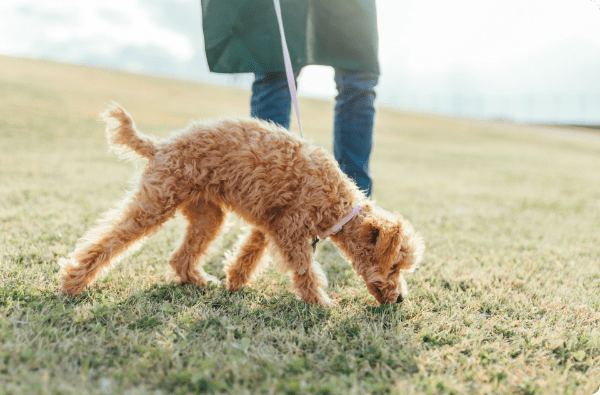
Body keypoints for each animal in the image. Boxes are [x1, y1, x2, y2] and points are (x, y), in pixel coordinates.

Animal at [58, 104, 424, 306]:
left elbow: (248, 254)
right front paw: (320, 302)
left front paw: (234, 282)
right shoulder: (290, 232)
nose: (400, 299)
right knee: (107, 240)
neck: (336, 203)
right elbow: (306, 270)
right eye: (394, 266)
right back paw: (73, 283)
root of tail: (159, 146)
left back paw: (197, 280)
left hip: (207, 215)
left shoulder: (269, 225)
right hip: (156, 202)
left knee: (180, 256)